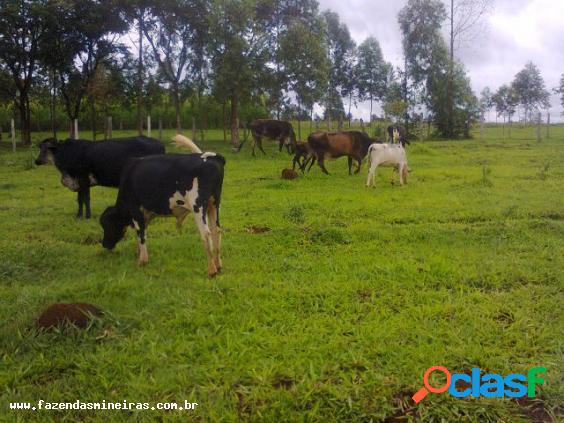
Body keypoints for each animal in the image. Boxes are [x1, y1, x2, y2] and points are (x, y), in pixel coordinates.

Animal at [34, 137, 164, 219]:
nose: (36, 161)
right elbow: (80, 200)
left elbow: (86, 199)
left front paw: (87, 216)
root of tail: (159, 143)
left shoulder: (83, 179)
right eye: (40, 148)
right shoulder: (79, 182)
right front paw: (79, 216)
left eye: (47, 148)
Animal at [99, 134, 225, 276]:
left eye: (107, 225)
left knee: (206, 234)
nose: (104, 244)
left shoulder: (136, 210)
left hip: (198, 206)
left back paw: (211, 270)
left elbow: (141, 234)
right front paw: (139, 253)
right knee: (216, 231)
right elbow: (142, 232)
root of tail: (213, 157)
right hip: (214, 205)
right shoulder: (146, 214)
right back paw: (218, 265)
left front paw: (142, 261)